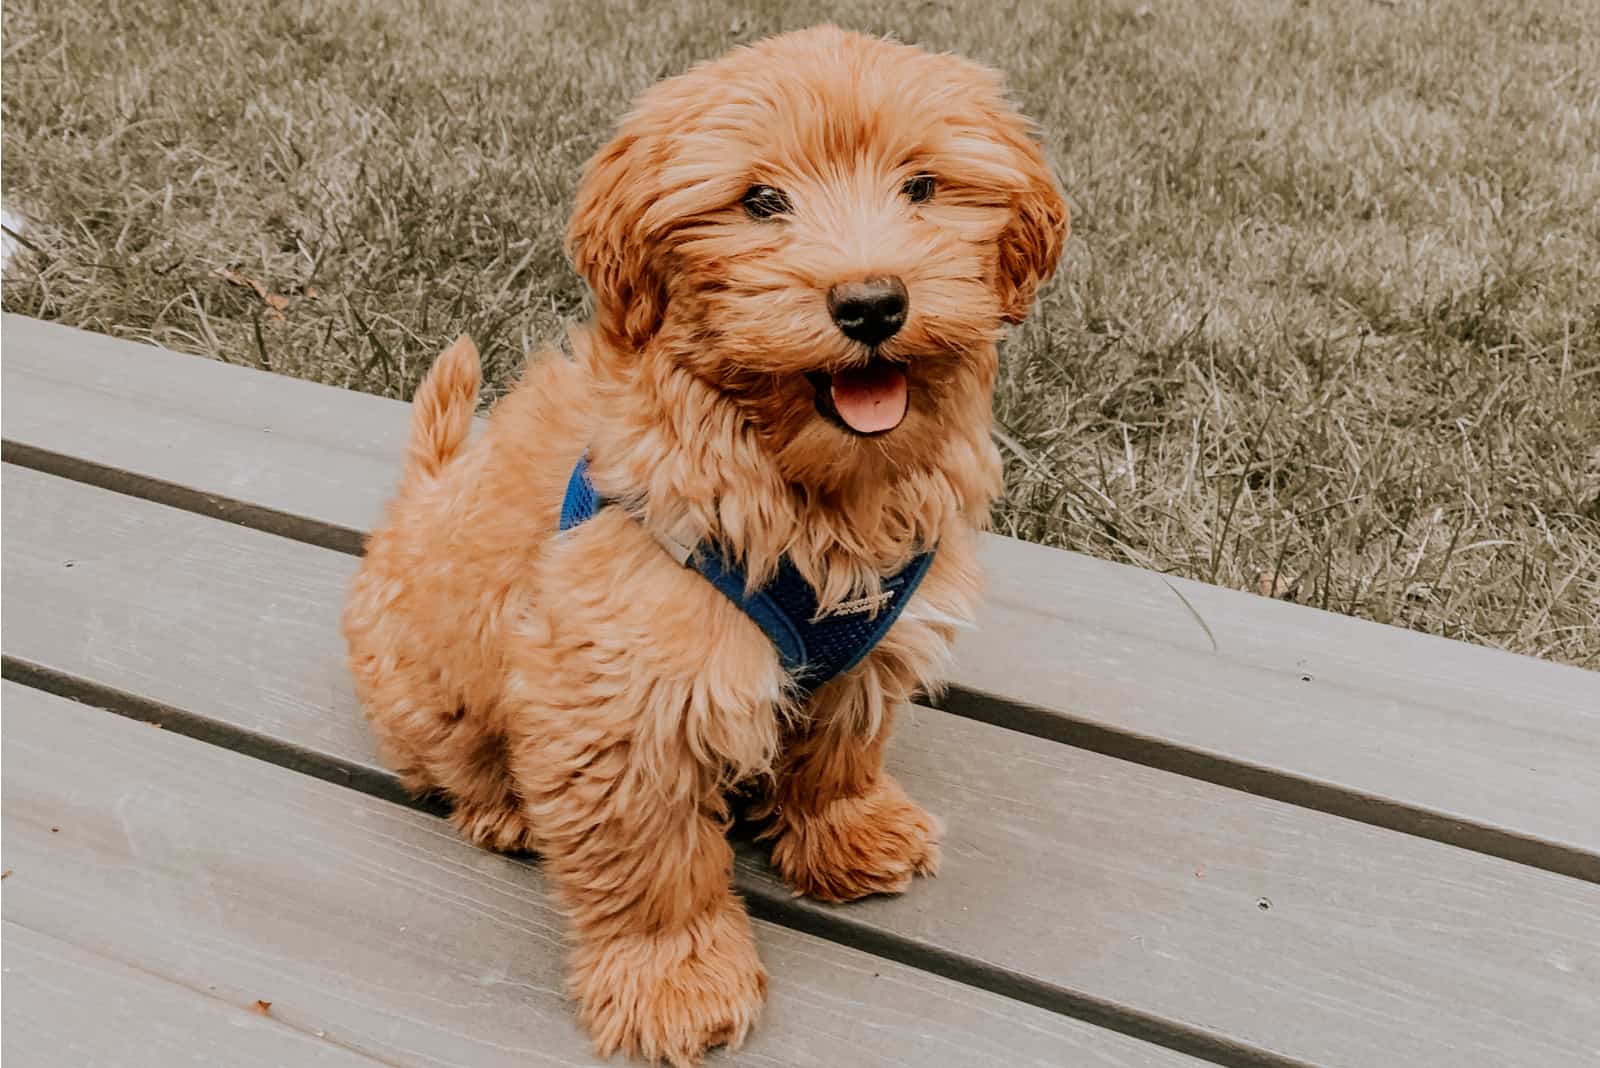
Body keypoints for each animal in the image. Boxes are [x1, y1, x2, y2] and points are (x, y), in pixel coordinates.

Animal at [344, 24, 1068, 1068]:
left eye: (922, 186)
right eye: (761, 201)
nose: (871, 303)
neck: (808, 492)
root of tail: (416, 501)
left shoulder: (870, 648)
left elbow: (841, 748)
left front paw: (848, 835)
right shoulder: (624, 692)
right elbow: (652, 861)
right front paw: (674, 984)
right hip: (425, 684)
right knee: (447, 754)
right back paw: (503, 805)